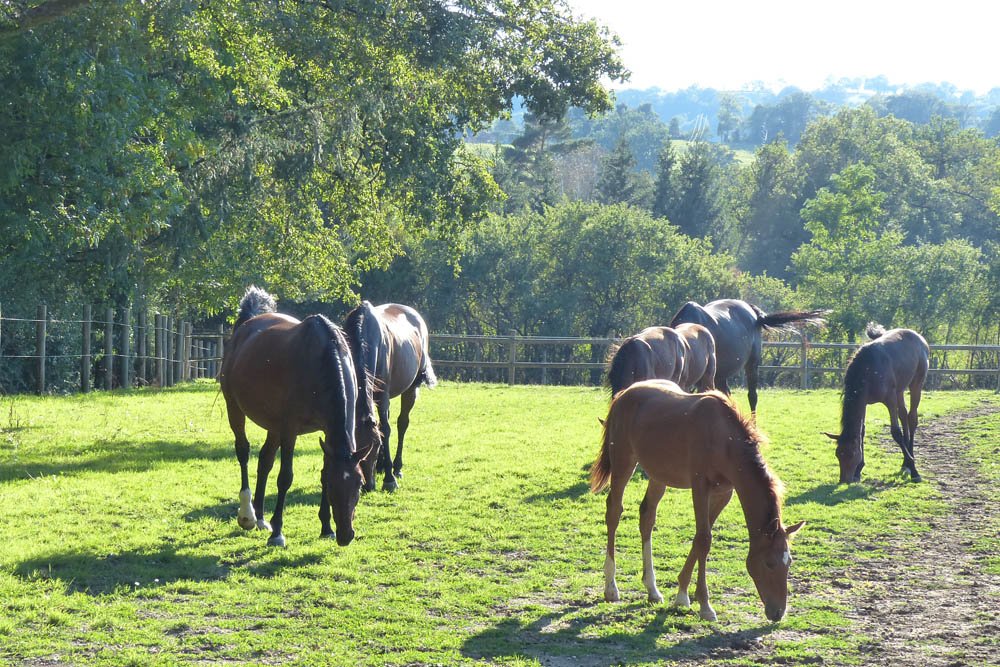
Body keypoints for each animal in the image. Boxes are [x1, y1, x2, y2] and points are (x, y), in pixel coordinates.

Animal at [220, 286, 379, 547]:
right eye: (335, 488)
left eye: (359, 484)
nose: (346, 535)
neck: (322, 361)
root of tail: (247, 325)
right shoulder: (290, 430)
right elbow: (285, 477)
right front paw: (277, 533)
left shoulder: (327, 431)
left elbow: (321, 471)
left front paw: (326, 528)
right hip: (235, 408)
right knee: (243, 452)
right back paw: (248, 516)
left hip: (273, 425)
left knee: (264, 460)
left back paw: (261, 518)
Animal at [343, 301, 437, 493]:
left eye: (375, 446)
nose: (368, 485)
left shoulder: (383, 394)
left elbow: (386, 430)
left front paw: (389, 479)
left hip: (410, 390)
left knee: (402, 423)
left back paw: (396, 468)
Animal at [591, 379, 805, 622]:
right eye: (769, 563)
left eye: (789, 562)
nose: (778, 612)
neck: (724, 440)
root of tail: (624, 394)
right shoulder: (700, 487)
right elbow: (704, 539)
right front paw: (704, 605)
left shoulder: (724, 493)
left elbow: (700, 538)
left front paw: (682, 595)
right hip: (623, 464)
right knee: (614, 512)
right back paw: (611, 587)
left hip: (658, 476)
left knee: (647, 517)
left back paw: (652, 589)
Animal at [824, 323, 929, 483]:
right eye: (837, 454)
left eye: (851, 454)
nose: (844, 480)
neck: (868, 370)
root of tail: (919, 338)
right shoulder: (864, 402)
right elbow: (862, 431)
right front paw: (859, 471)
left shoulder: (890, 399)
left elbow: (895, 432)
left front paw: (914, 470)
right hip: (900, 390)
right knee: (904, 415)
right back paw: (905, 462)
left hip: (916, 384)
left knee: (912, 418)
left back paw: (910, 461)